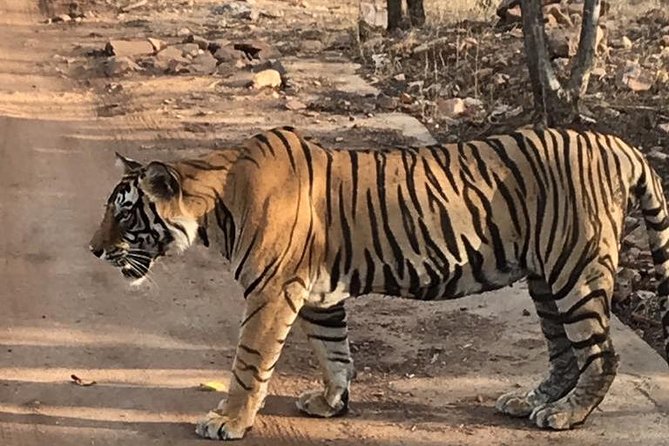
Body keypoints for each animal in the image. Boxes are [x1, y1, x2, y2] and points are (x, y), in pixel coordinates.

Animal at [89, 126, 669, 440]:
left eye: (124, 213)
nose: (92, 249)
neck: (216, 205)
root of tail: (621, 144)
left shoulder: (271, 292)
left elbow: (250, 363)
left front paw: (228, 420)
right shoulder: (318, 295)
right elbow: (334, 352)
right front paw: (331, 403)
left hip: (575, 271)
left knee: (601, 354)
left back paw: (566, 415)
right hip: (545, 280)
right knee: (564, 352)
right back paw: (530, 401)